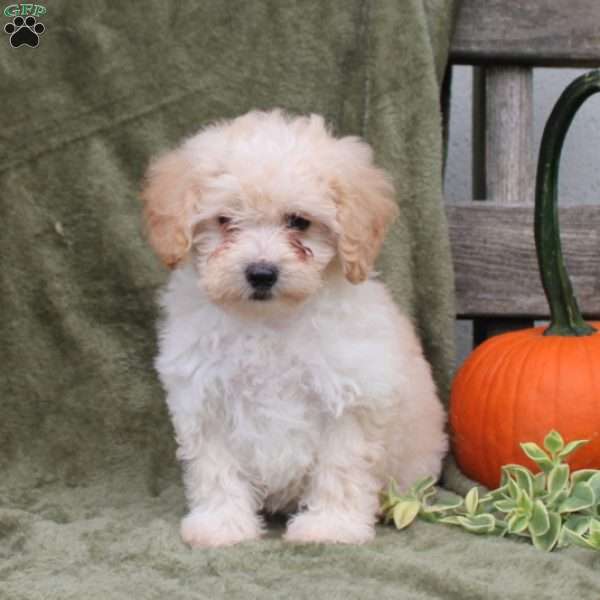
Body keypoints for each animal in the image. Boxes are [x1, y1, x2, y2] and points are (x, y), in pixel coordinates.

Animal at [142, 109, 446, 548]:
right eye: (225, 220)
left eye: (299, 222)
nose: (261, 273)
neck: (270, 321)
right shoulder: (205, 396)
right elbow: (216, 468)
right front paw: (222, 524)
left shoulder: (348, 395)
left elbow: (341, 466)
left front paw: (330, 527)